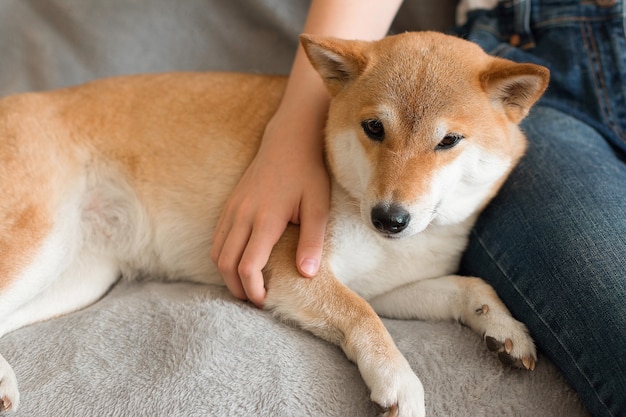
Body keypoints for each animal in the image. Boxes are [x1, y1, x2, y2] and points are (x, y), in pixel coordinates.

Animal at [0, 30, 544, 414]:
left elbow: (469, 286)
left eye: (449, 141)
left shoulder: (387, 286)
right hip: (40, 241)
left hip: (78, 276)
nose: (389, 218)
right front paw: (400, 383)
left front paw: (504, 327)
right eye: (374, 128)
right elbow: (363, 318)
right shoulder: (288, 270)